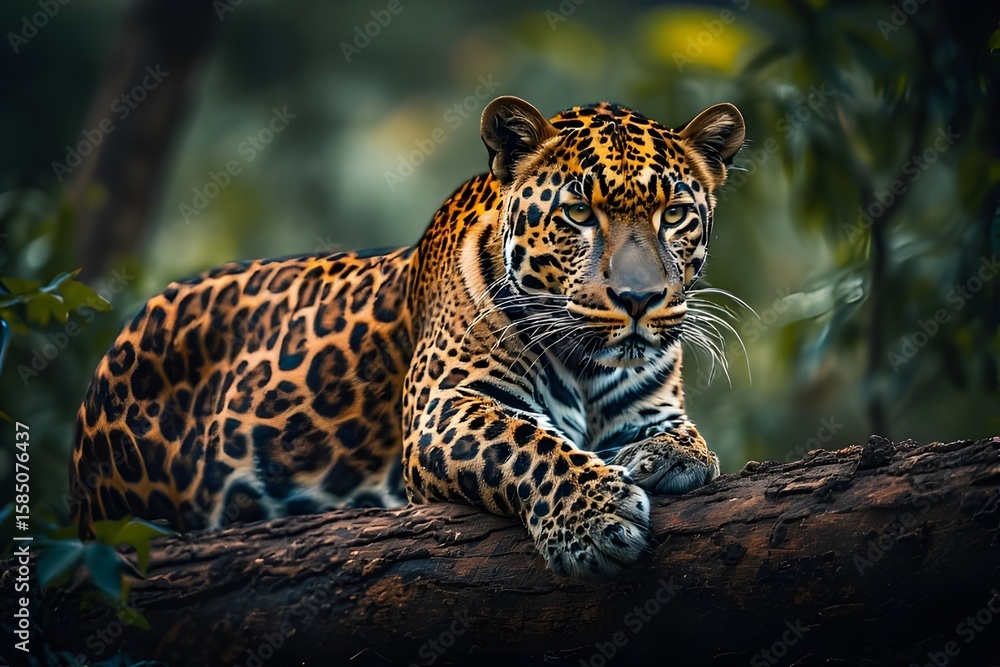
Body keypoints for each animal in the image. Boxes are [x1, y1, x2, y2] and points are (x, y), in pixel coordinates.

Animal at [70, 95, 745, 577]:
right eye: (579, 213)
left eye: (674, 215)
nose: (638, 300)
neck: (586, 364)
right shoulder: (445, 409)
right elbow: (528, 443)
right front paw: (596, 517)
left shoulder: (650, 406)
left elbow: (690, 442)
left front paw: (659, 457)